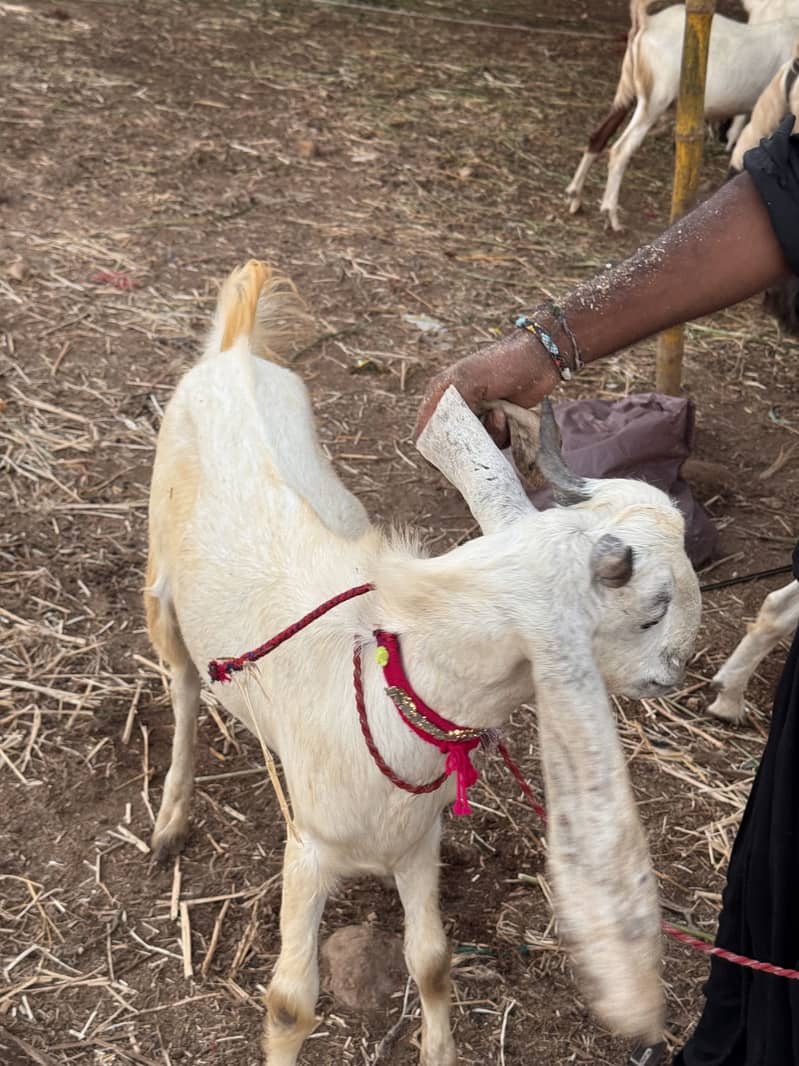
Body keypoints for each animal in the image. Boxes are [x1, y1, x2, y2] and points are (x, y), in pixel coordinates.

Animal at [145, 260, 701, 1064]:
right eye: (653, 608)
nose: (683, 664)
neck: (390, 684)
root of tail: (235, 350)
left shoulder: (418, 843)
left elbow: (432, 962)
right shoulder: (308, 852)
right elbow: (289, 1004)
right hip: (162, 592)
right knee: (186, 691)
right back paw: (170, 819)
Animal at [566, 0, 799, 232]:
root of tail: (648, 23)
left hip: (628, 90)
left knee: (599, 135)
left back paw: (575, 195)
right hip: (654, 100)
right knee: (621, 150)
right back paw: (610, 213)